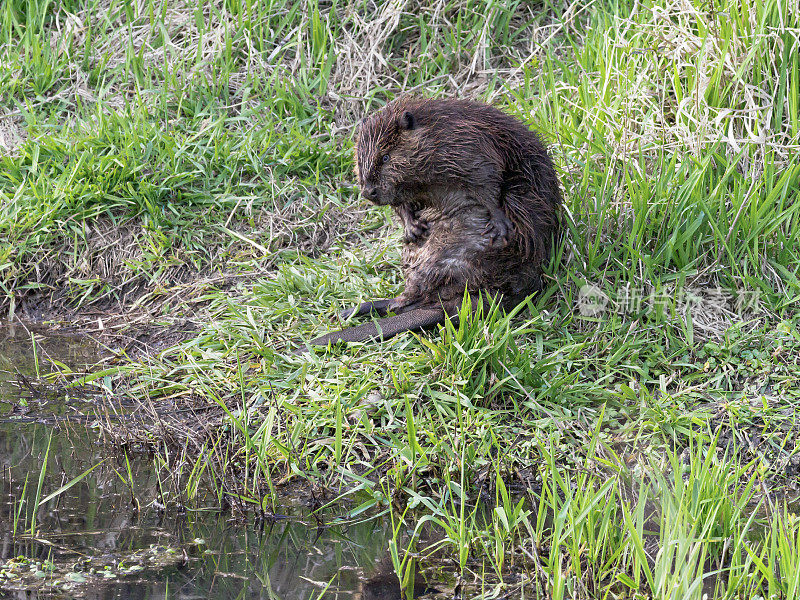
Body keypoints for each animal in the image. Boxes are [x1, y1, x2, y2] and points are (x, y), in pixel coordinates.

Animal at [304, 98, 560, 346]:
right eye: (359, 158)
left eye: (385, 157)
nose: (368, 192)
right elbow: (401, 204)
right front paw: (413, 228)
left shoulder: (469, 147)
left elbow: (488, 182)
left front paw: (499, 225)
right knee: (410, 298)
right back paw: (355, 309)